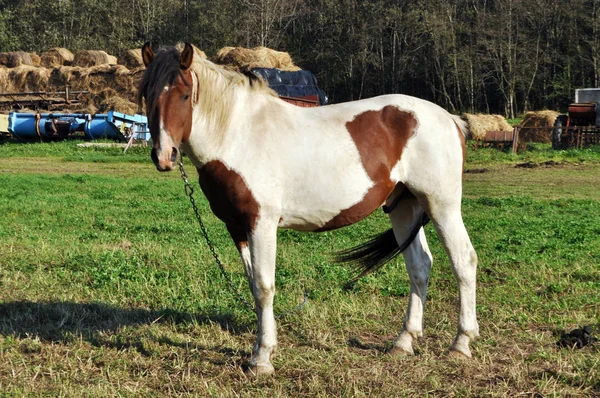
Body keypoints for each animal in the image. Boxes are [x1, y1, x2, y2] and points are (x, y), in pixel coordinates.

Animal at [139, 43, 478, 376]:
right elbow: (253, 286)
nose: (164, 156)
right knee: (419, 267)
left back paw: (461, 344)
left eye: (184, 94)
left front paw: (262, 359)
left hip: (441, 205)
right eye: (147, 93)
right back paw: (404, 342)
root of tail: (450, 119)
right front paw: (260, 349)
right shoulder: (237, 227)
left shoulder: (262, 223)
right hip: (403, 207)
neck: (239, 135)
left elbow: (264, 286)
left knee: (464, 261)